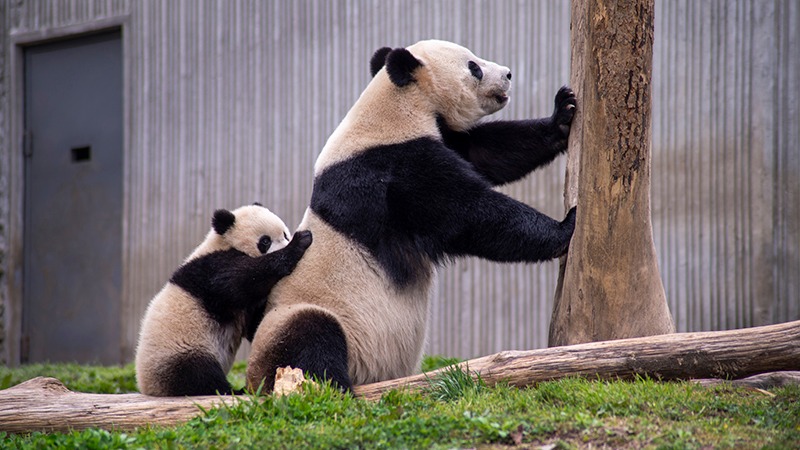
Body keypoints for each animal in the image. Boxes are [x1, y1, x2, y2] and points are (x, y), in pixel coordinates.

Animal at [136, 205, 310, 398]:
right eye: (265, 241)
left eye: (285, 234)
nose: (287, 241)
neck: (224, 242)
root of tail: (149, 388)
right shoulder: (212, 269)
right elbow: (240, 280)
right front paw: (299, 242)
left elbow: (255, 324)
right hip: (179, 349)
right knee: (198, 373)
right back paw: (235, 390)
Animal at [248, 39, 576, 394]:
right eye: (473, 66)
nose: (508, 74)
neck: (397, 105)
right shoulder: (388, 169)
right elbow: (466, 213)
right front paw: (565, 227)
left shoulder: (440, 138)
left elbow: (488, 151)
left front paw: (563, 115)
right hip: (295, 320)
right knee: (311, 337)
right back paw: (336, 389)